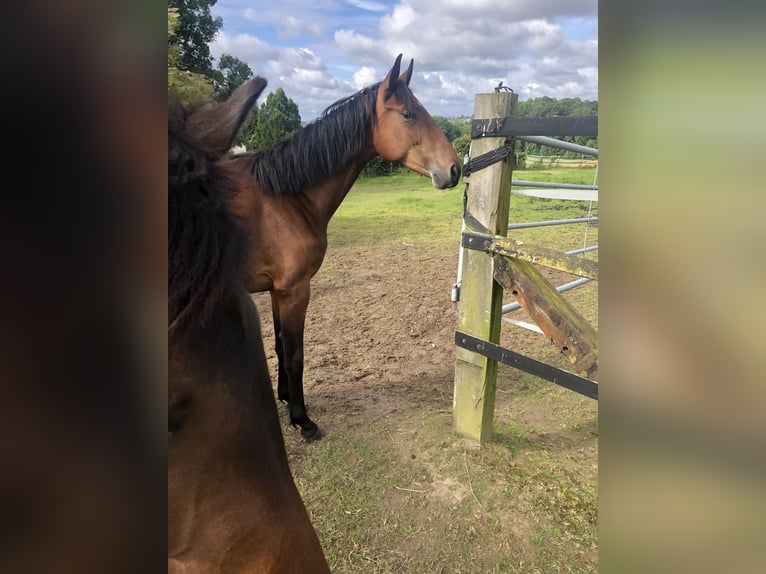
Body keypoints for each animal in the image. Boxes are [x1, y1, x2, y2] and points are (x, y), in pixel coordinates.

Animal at [222, 55, 462, 440]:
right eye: (408, 113)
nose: (454, 169)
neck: (285, 197)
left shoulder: (277, 290)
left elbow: (280, 346)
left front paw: (286, 399)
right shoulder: (295, 290)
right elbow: (295, 355)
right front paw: (302, 420)